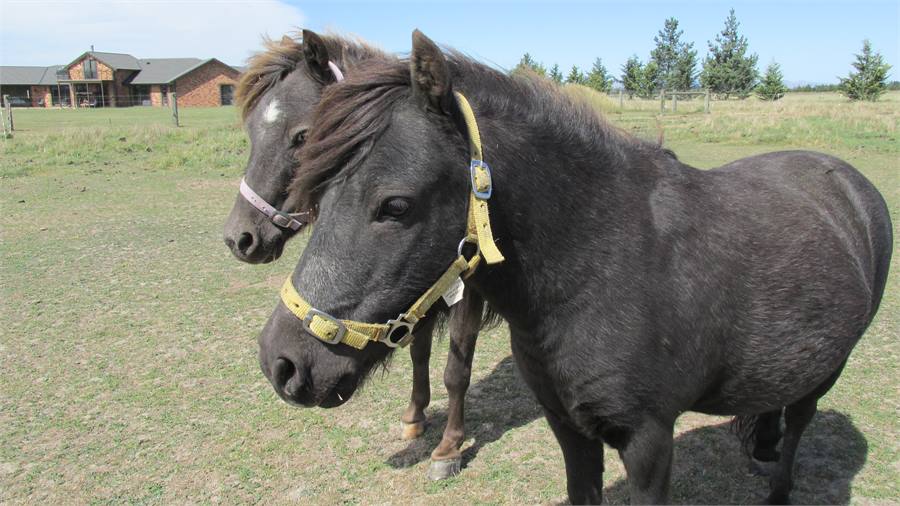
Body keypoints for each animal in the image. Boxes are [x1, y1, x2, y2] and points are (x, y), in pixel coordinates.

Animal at [222, 31, 490, 479]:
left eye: (303, 137)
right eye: (252, 134)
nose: (239, 238)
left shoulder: (467, 290)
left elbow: (457, 370)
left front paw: (449, 447)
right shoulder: (421, 291)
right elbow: (418, 353)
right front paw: (415, 416)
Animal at [256, 30, 893, 504]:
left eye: (394, 205)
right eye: (318, 187)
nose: (281, 362)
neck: (599, 268)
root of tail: (850, 182)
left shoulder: (649, 442)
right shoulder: (569, 429)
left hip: (826, 372)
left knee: (799, 426)